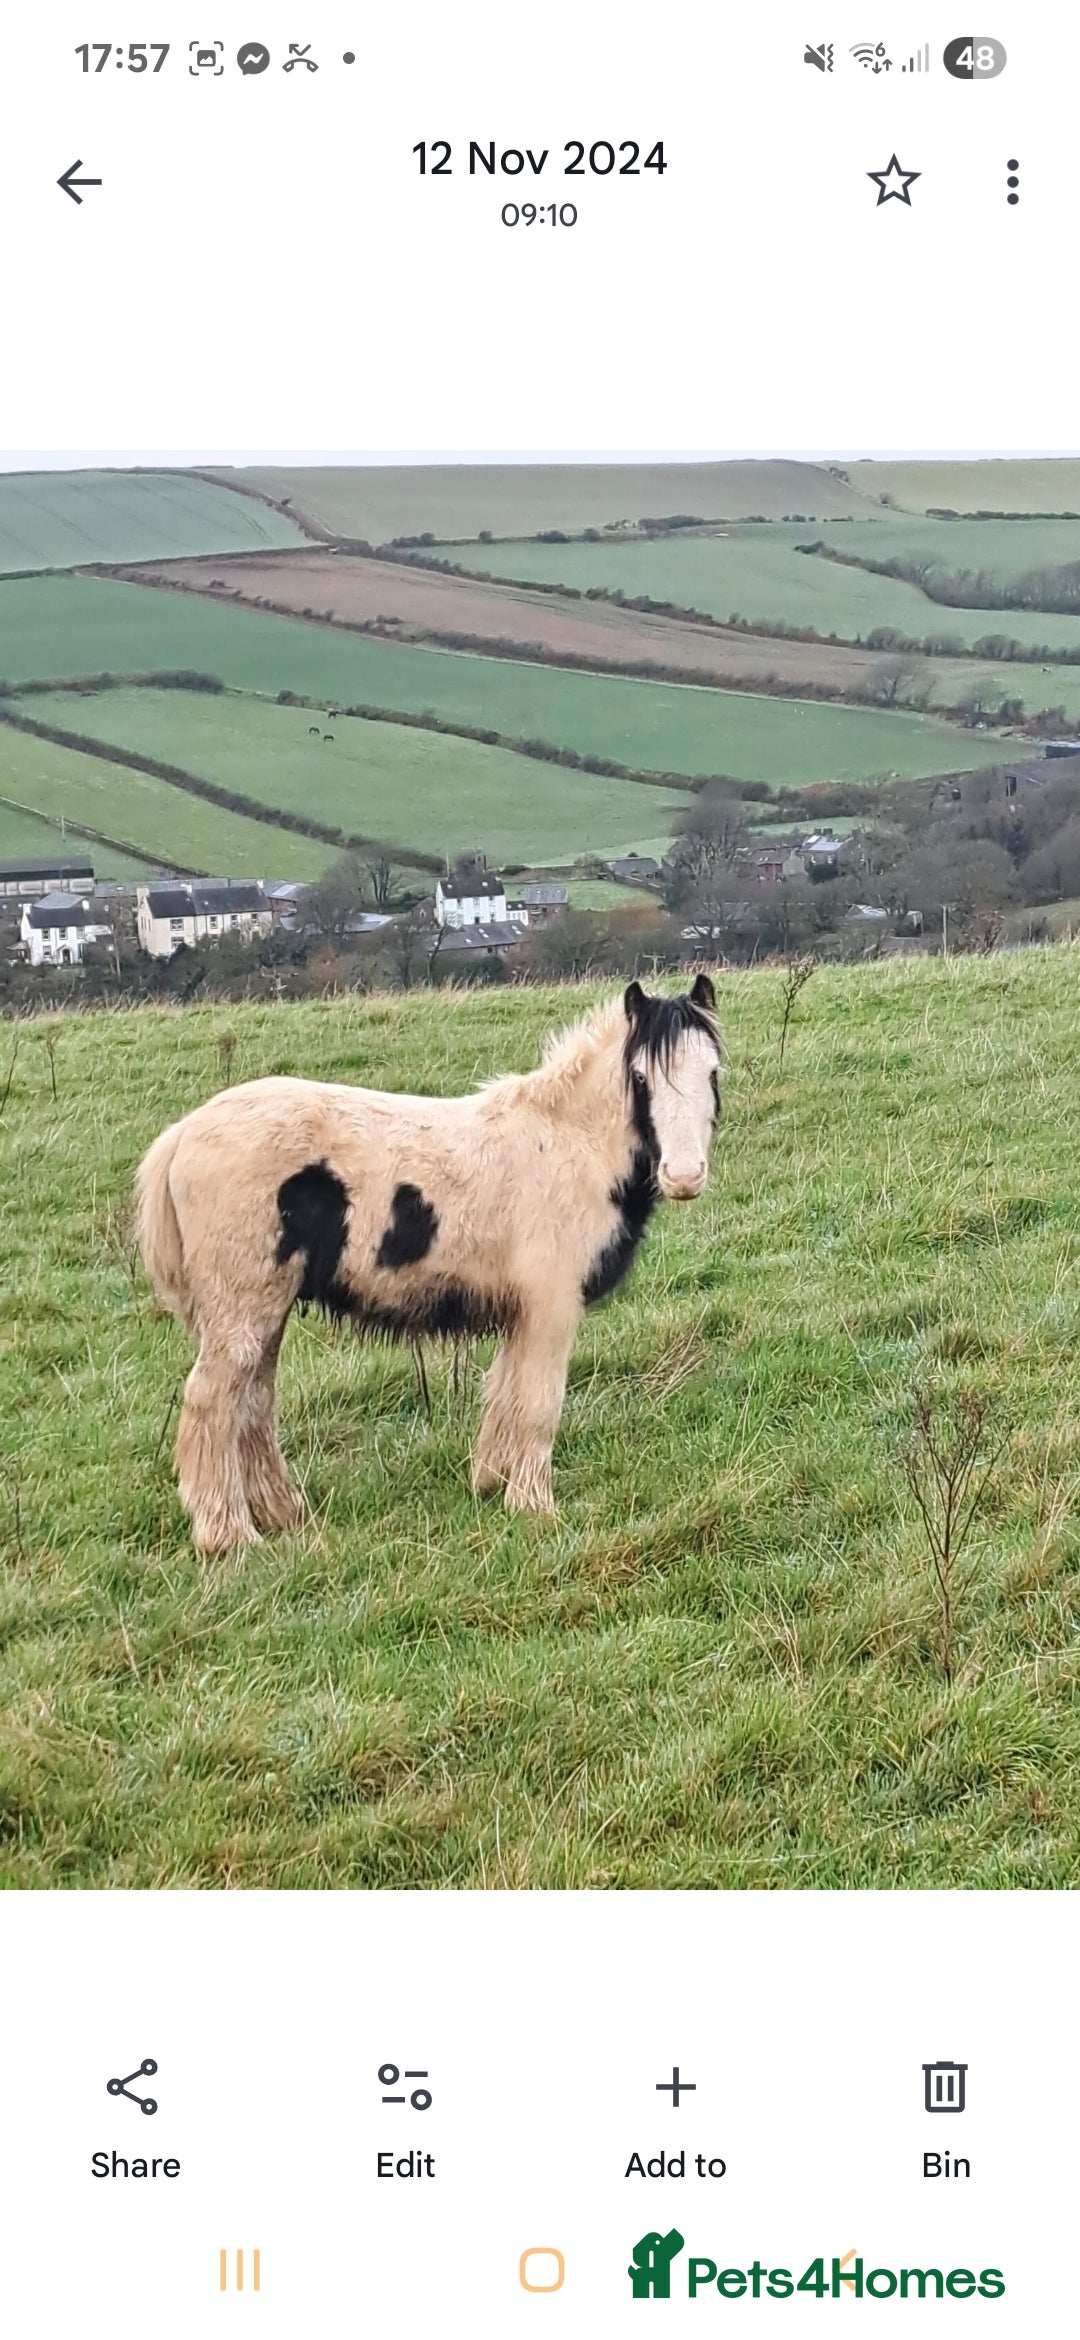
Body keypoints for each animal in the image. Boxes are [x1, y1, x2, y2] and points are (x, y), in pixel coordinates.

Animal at [136, 974, 721, 1554]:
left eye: (712, 1071)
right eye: (641, 1077)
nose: (684, 1176)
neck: (566, 1145)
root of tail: (183, 1134)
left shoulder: (522, 1313)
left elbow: (503, 1395)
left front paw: (490, 1484)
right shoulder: (551, 1309)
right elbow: (538, 1403)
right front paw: (534, 1507)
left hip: (265, 1309)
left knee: (253, 1400)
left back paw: (286, 1515)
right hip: (244, 1309)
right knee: (212, 1401)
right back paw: (227, 1536)